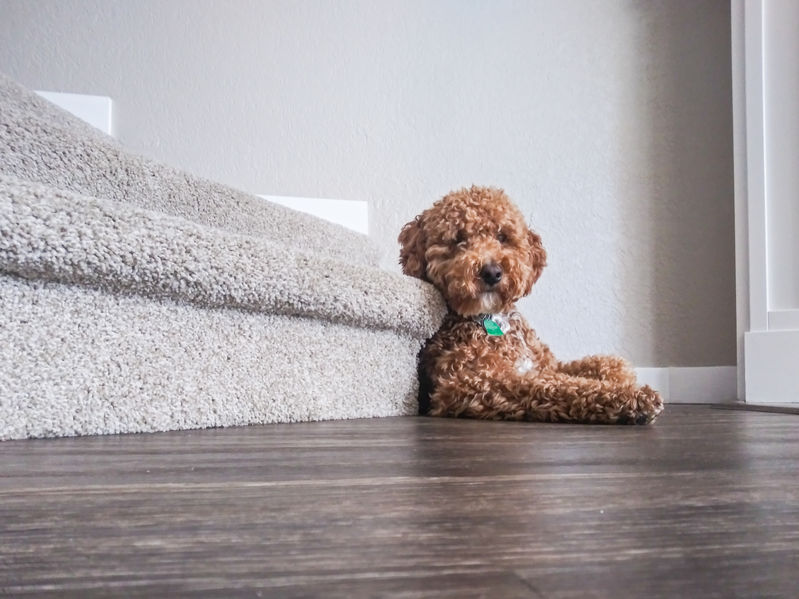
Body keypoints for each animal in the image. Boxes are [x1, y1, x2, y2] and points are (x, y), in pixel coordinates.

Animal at [396, 185, 664, 424]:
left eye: (502, 236)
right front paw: (633, 397)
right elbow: (555, 387)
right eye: (459, 239)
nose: (492, 272)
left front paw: (620, 375)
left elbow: (604, 365)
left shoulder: (546, 365)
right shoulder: (472, 382)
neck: (492, 319)